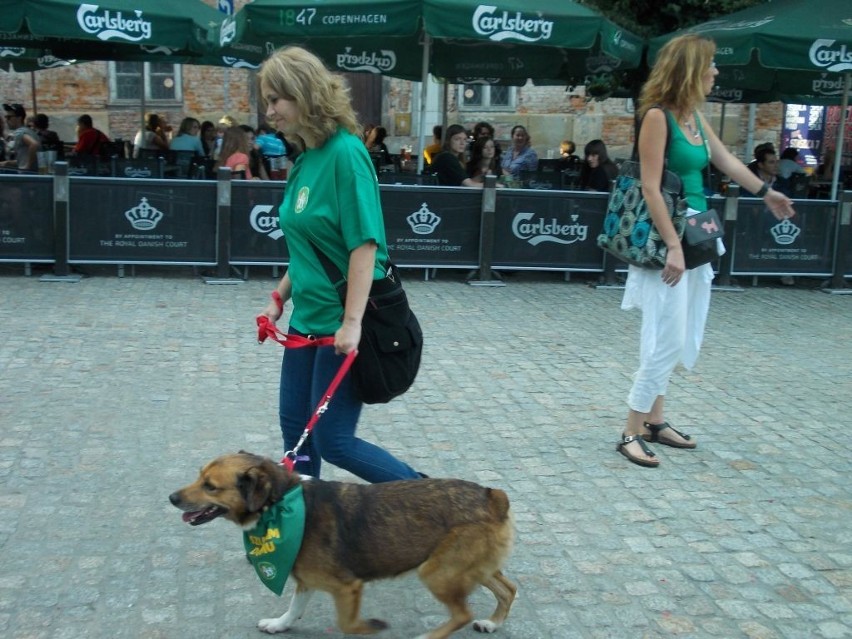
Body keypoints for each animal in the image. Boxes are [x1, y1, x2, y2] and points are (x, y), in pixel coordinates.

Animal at [166, 452, 512, 636]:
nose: (171, 498)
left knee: (462, 614)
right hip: (469, 567)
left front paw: (371, 627)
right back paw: (492, 623)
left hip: (437, 572)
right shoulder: (305, 579)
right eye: (199, 476)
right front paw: (279, 625)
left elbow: (348, 624)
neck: (280, 504)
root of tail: (491, 496)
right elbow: (294, 609)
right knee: (508, 589)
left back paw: (430, 636)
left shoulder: (348, 587)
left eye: (210, 487)